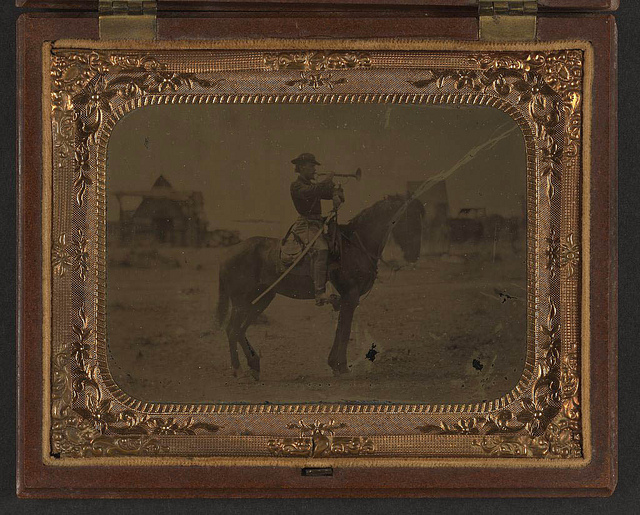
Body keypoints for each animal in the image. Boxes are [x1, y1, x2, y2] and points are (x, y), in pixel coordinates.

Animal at [215, 194, 424, 378]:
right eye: (410, 219)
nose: (414, 255)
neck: (356, 245)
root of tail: (227, 254)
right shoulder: (350, 296)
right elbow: (345, 330)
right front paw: (341, 367)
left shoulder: (347, 299)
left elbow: (341, 328)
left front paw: (335, 365)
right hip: (241, 302)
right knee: (232, 330)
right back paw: (238, 370)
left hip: (262, 299)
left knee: (240, 330)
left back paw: (254, 364)